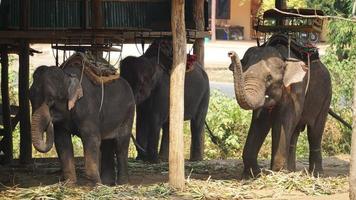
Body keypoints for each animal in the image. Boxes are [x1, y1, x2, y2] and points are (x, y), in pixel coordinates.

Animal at [229, 38, 332, 177]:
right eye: (243, 74)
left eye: (269, 78)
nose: (230, 53)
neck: (283, 58)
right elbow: (260, 121)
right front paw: (254, 174)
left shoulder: (296, 88)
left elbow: (283, 120)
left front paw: (277, 172)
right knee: (294, 132)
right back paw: (291, 171)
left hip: (326, 97)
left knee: (315, 132)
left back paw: (316, 174)